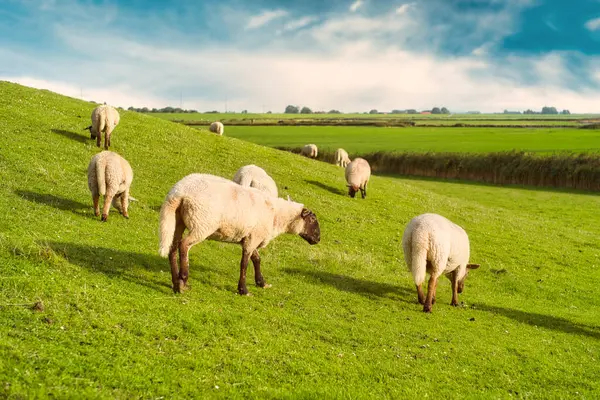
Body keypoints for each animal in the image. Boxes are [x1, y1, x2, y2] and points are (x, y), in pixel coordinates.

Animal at [157, 174, 322, 294]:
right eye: (313, 219)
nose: (318, 239)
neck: (277, 216)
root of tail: (179, 192)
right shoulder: (253, 238)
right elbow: (245, 263)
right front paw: (243, 290)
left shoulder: (251, 236)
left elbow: (257, 259)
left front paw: (261, 282)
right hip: (202, 223)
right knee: (184, 245)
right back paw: (183, 279)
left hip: (178, 221)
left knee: (173, 247)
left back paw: (176, 283)